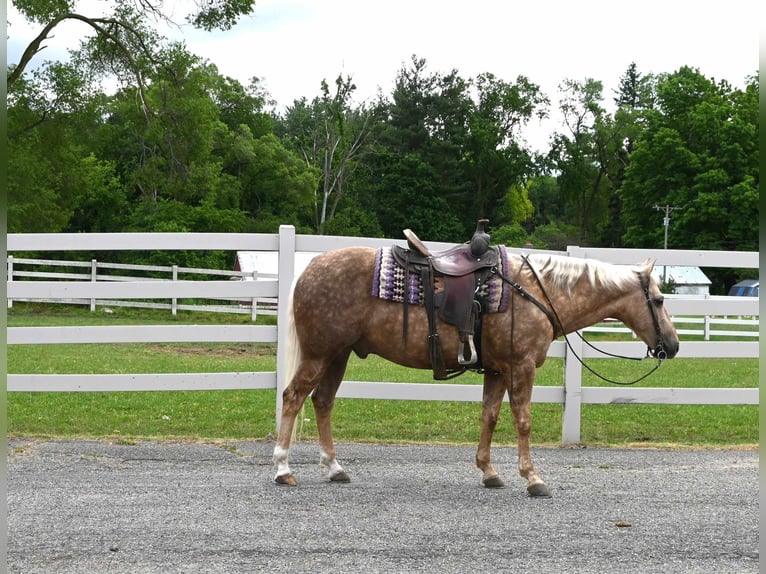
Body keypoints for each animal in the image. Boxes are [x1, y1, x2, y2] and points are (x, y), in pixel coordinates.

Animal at [272, 246, 679, 496]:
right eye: (660, 300)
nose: (673, 346)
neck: (537, 292)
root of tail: (308, 269)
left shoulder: (497, 371)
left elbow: (490, 416)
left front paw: (489, 472)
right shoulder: (520, 366)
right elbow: (522, 420)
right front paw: (533, 478)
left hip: (337, 356)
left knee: (322, 402)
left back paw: (333, 467)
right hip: (319, 354)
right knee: (293, 397)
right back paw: (282, 468)